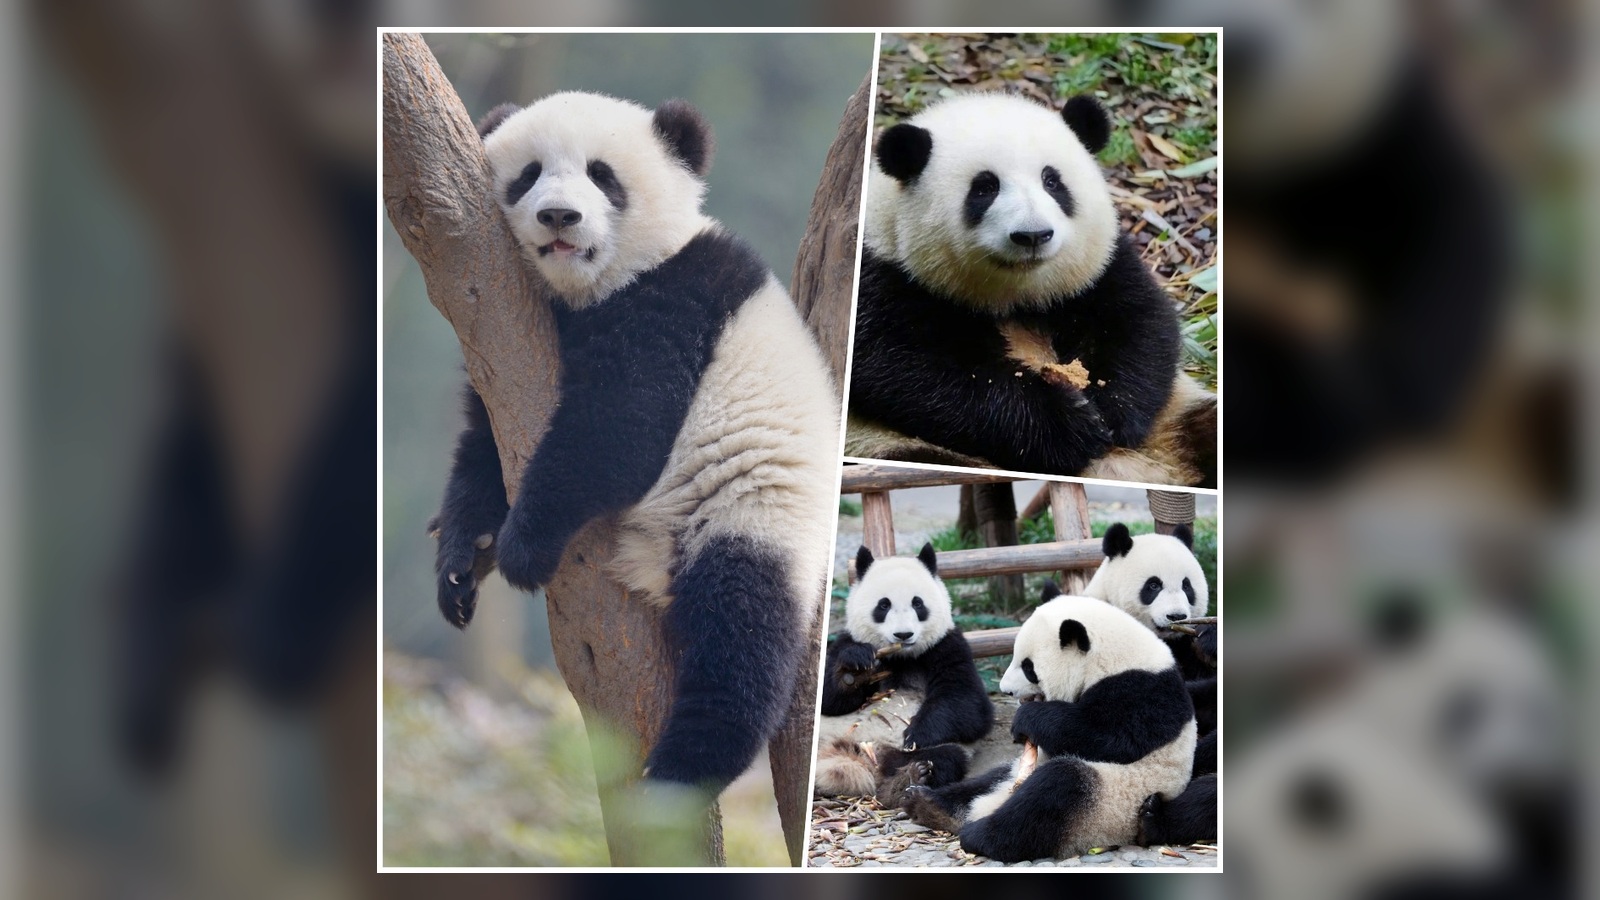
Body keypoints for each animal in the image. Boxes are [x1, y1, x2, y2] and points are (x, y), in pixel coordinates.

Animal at [430, 91, 839, 799]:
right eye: (529, 175)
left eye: (603, 176)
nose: (559, 215)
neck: (589, 290)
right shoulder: (499, 341)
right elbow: (484, 445)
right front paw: (463, 557)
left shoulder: (677, 300)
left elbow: (618, 431)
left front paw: (522, 546)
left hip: (756, 514)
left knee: (743, 631)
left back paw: (680, 775)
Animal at [814, 544, 994, 794]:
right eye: (884, 605)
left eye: (917, 603)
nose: (903, 634)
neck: (901, 656)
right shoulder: (845, 641)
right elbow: (829, 699)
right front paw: (855, 670)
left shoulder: (946, 647)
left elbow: (969, 706)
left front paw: (915, 735)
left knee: (943, 757)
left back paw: (911, 778)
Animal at [846, 92, 1215, 486]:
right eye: (984, 188)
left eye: (1052, 181)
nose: (1033, 235)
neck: (1016, 296)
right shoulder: (887, 275)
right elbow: (909, 369)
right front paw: (1068, 425)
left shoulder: (1101, 268)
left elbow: (1142, 323)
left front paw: (1111, 410)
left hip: (1178, 417)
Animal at [890, 593, 1197, 862]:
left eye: (1028, 667)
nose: (1006, 690)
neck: (1114, 657)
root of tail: (990, 805)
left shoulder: (1143, 691)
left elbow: (1113, 739)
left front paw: (1027, 718)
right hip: (1018, 774)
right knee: (984, 782)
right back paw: (923, 799)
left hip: (1114, 804)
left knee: (1055, 790)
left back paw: (977, 834)